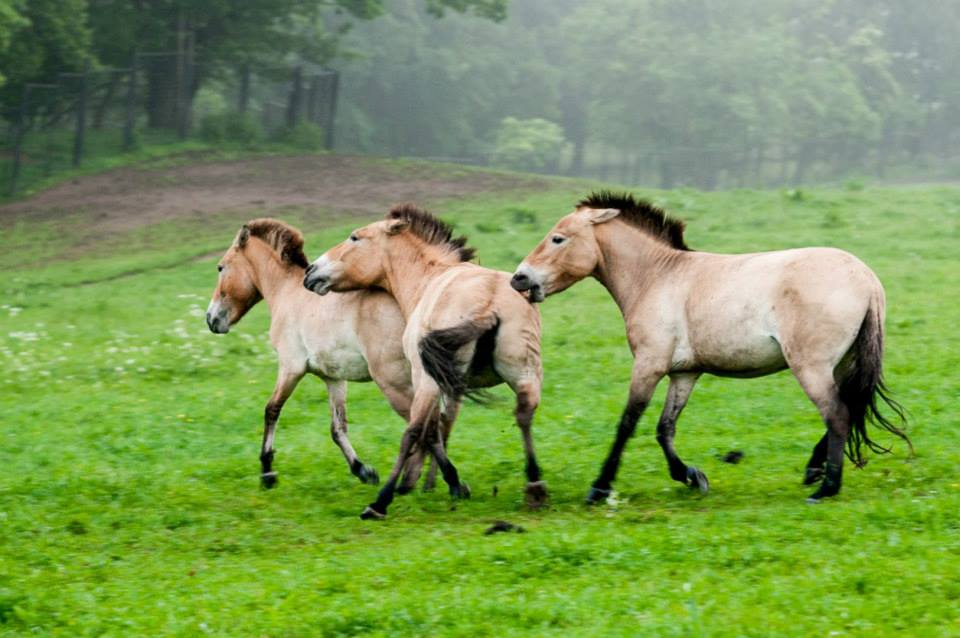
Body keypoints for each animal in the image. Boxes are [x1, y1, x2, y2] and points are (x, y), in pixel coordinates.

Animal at [306, 205, 548, 520]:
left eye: (355, 237)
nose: (310, 271)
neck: (428, 277)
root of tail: (488, 304)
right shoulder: (455, 385)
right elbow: (444, 425)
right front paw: (448, 483)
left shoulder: (428, 379)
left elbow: (426, 430)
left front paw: (435, 484)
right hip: (525, 374)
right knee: (524, 415)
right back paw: (535, 486)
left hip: (427, 381)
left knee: (411, 432)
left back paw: (380, 502)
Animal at [510, 191, 908, 504]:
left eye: (558, 239)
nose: (519, 278)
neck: (658, 277)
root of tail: (867, 279)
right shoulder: (685, 373)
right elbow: (665, 427)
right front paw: (690, 476)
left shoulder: (649, 364)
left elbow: (628, 423)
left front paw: (600, 488)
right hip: (840, 364)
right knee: (849, 408)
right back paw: (814, 470)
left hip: (810, 367)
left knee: (838, 413)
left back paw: (826, 487)